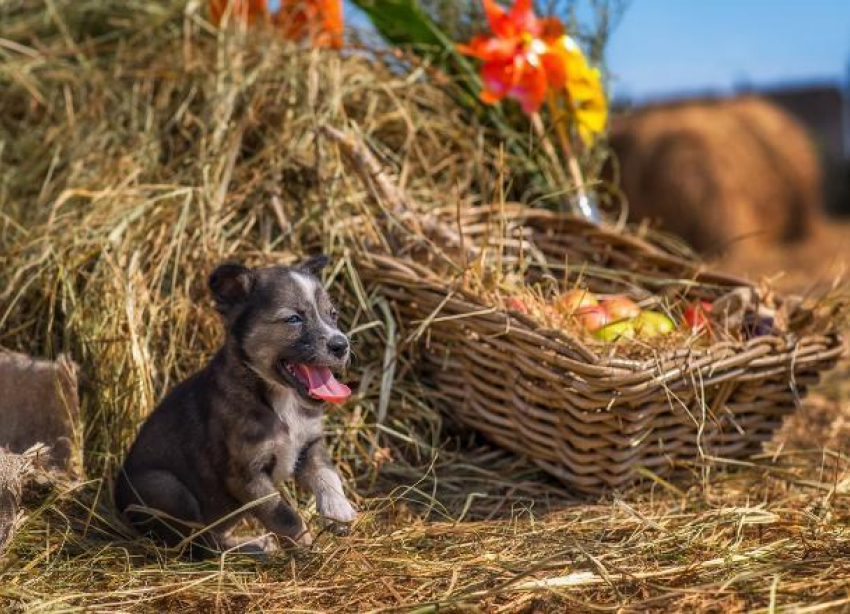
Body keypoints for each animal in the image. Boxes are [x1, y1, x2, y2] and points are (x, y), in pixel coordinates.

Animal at [114, 258, 352, 556]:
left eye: (333, 314)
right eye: (293, 319)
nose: (341, 345)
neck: (279, 398)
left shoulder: (309, 443)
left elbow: (327, 473)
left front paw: (338, 511)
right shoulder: (245, 473)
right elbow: (283, 515)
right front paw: (304, 545)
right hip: (165, 488)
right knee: (199, 544)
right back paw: (253, 547)